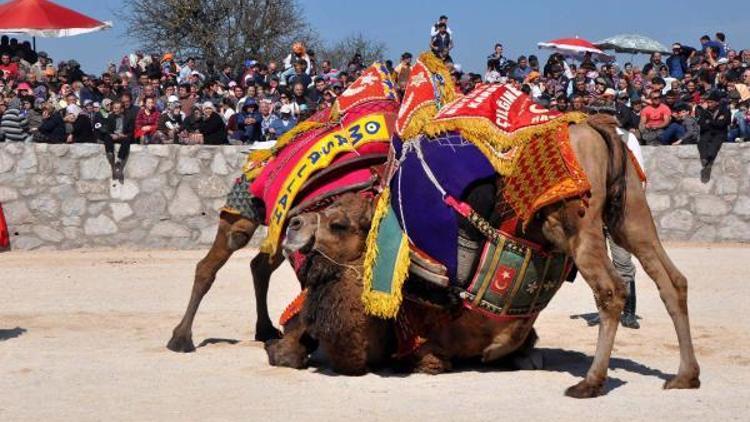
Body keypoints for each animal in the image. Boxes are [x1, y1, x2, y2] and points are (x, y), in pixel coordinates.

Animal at [274, 116, 704, 398]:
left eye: (339, 223)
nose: (294, 223)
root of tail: (600, 131)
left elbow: (428, 356)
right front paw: (284, 348)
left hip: (576, 222)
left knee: (611, 290)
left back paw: (590, 383)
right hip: (632, 212)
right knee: (673, 280)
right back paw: (686, 376)